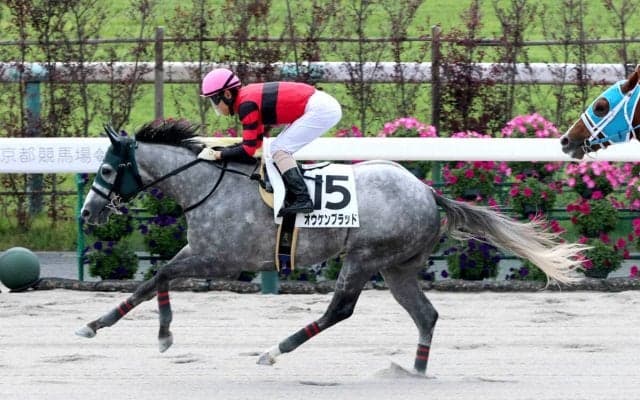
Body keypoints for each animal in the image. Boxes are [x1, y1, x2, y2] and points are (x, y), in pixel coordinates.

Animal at [76, 120, 586, 375]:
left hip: (365, 257)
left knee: (340, 309)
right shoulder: (202, 252)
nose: (86, 213)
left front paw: (100, 326)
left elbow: (157, 276)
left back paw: (275, 350)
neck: (207, 183)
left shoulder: (218, 256)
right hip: (399, 267)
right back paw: (416, 373)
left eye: (106, 170)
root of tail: (428, 192)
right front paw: (156, 333)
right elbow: (158, 278)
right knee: (426, 315)